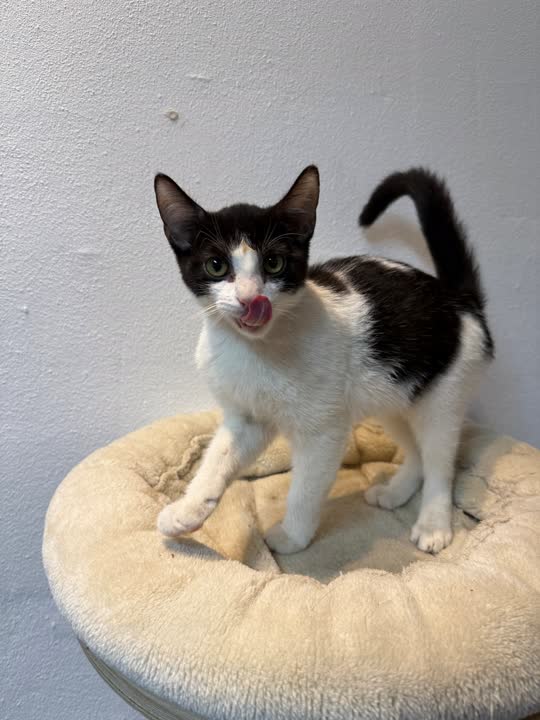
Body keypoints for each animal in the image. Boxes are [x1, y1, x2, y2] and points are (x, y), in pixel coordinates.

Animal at [154, 166, 493, 555]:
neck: (257, 349)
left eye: (274, 263)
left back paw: (434, 524)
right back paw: (396, 492)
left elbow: (305, 490)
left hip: (443, 394)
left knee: (439, 459)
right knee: (417, 450)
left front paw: (292, 536)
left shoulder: (323, 431)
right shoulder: (246, 418)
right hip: (395, 393)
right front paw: (188, 510)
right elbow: (217, 460)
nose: (250, 299)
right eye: (216, 265)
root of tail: (459, 299)